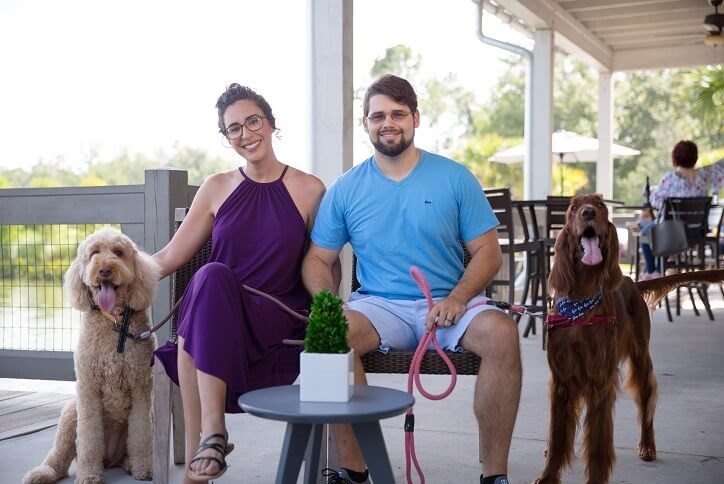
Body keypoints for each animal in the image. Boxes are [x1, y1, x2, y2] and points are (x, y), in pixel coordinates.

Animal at [24, 228, 158, 484]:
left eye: (118, 253)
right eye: (94, 253)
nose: (104, 269)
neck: (114, 321)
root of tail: (110, 459)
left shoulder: (141, 388)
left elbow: (141, 433)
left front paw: (144, 468)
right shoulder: (88, 389)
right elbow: (88, 439)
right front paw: (88, 475)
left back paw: (129, 463)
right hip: (70, 412)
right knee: (60, 455)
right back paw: (42, 473)